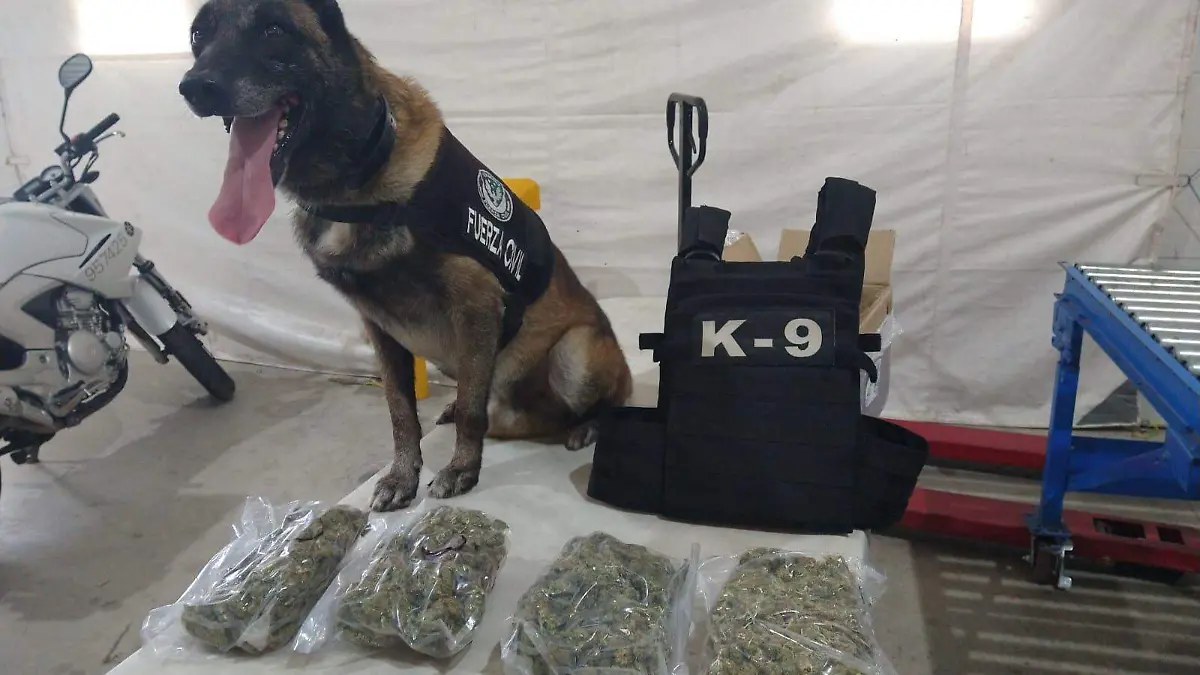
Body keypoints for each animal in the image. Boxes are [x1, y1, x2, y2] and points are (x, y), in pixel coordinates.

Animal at [178, 0, 632, 511]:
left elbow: (472, 411)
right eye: (199, 35)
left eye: (274, 30)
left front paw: (461, 469)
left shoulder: (476, 307)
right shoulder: (378, 326)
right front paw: (401, 475)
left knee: (598, 401)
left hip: (577, 353)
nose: (196, 87)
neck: (354, 180)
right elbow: (400, 410)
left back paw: (585, 426)